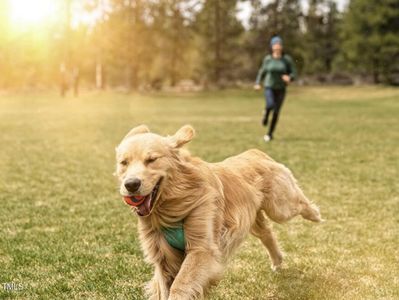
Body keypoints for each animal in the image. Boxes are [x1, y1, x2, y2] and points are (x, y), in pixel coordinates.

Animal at [115, 125, 322, 300]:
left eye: (151, 160)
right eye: (124, 163)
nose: (131, 185)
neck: (171, 207)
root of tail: (256, 152)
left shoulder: (201, 248)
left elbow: (180, 285)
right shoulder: (163, 256)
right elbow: (165, 285)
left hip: (279, 206)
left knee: (299, 204)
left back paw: (315, 214)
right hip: (253, 217)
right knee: (267, 232)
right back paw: (277, 261)